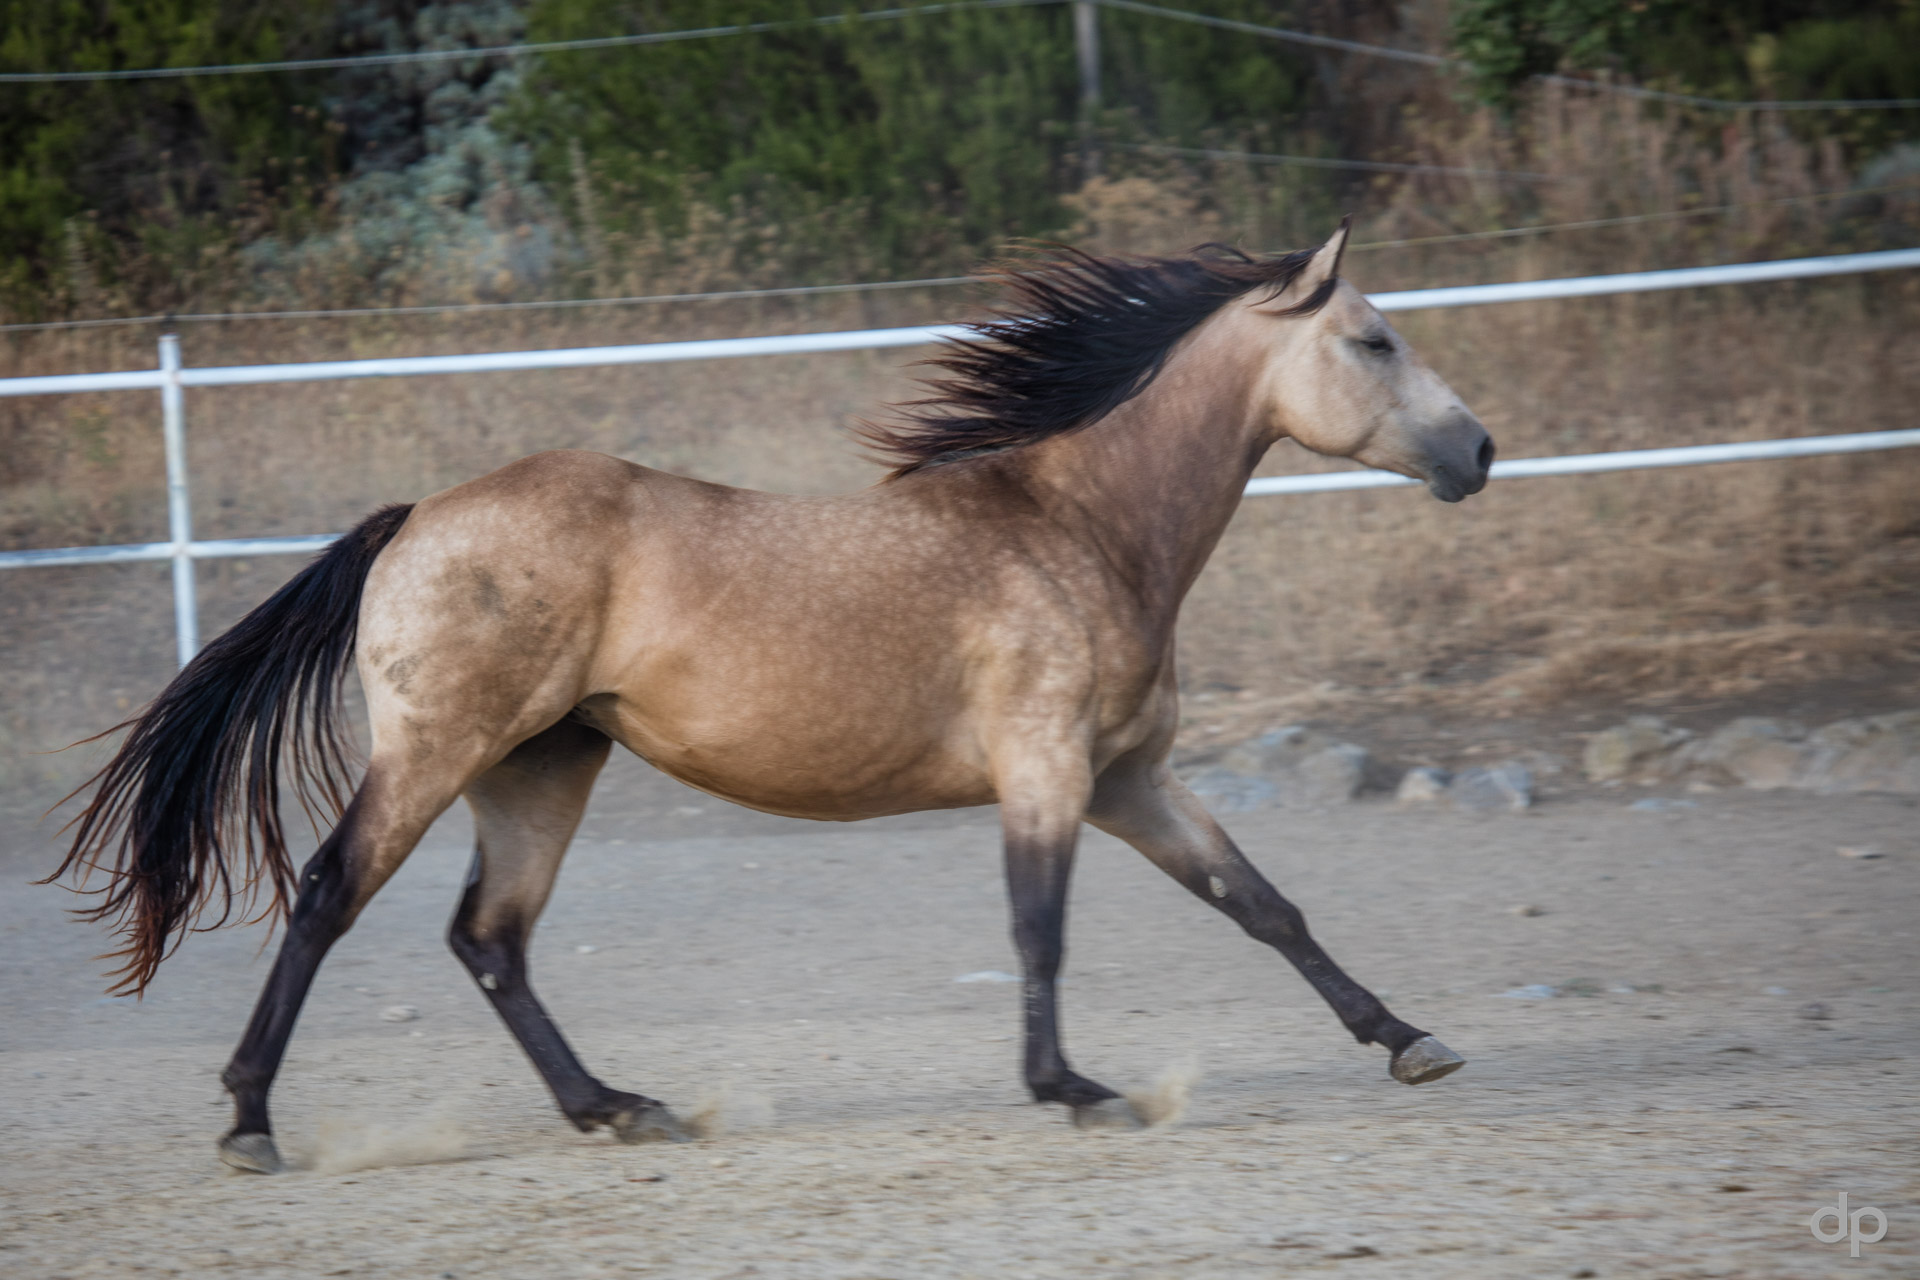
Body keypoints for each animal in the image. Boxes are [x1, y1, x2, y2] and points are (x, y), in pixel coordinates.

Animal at [50, 219, 1494, 1173]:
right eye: (1373, 339)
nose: (1479, 450)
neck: (1077, 529)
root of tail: (415, 519)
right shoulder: (1047, 769)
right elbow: (1040, 930)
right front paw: (1077, 1089)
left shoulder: (1132, 777)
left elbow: (1261, 903)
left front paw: (1410, 1040)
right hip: (440, 750)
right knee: (330, 895)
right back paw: (249, 1122)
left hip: (542, 765)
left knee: (491, 937)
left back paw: (618, 1108)